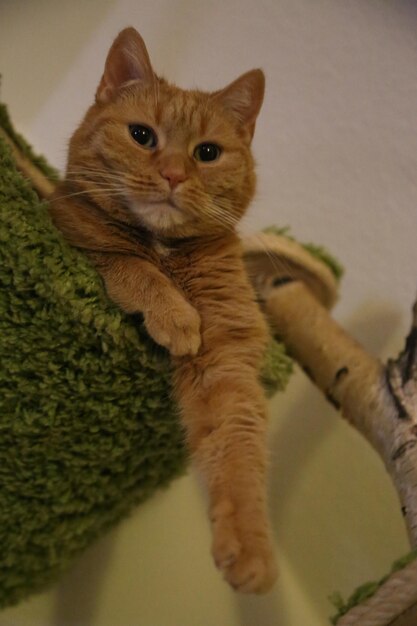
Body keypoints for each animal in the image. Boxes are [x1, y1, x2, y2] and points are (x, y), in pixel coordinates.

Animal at [48, 26, 276, 592]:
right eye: (142, 136)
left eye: (207, 152)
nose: (173, 174)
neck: (166, 248)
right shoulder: (77, 234)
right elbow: (133, 266)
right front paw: (176, 317)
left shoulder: (226, 360)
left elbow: (237, 450)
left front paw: (250, 547)